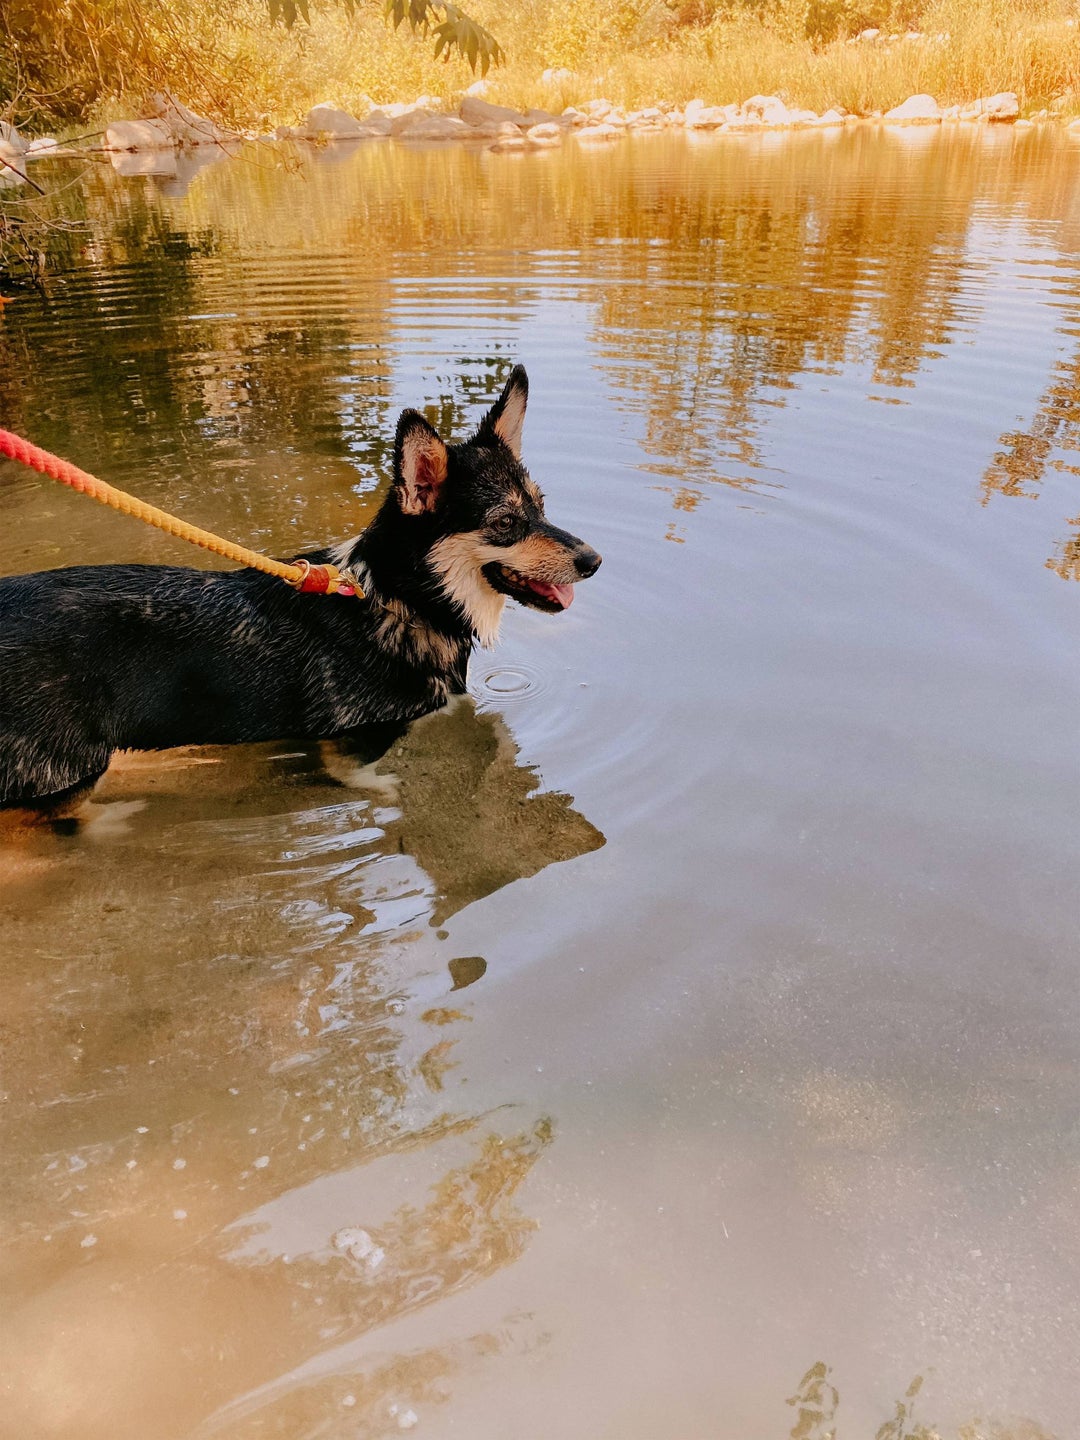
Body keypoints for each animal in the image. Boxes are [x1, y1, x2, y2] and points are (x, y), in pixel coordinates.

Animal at [0, 365, 601, 806]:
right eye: (505, 523)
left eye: (541, 508)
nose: (594, 561)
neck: (396, 601)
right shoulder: (350, 736)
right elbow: (364, 775)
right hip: (63, 769)